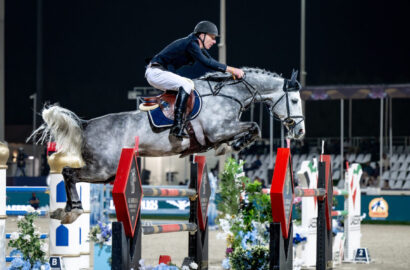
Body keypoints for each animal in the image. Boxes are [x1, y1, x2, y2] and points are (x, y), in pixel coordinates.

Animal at [29, 66, 304, 223]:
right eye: (294, 100)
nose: (300, 131)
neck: (230, 94)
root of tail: (86, 125)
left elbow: (251, 129)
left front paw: (231, 145)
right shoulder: (218, 130)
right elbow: (253, 127)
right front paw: (236, 144)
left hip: (107, 173)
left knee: (70, 175)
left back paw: (66, 210)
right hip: (102, 169)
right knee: (68, 173)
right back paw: (72, 210)